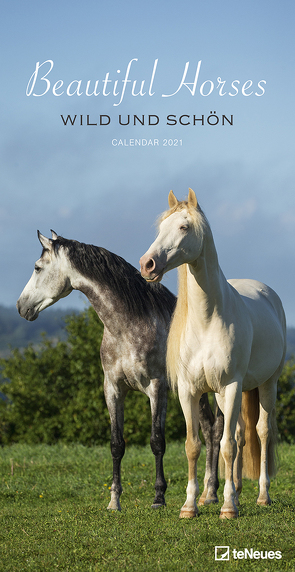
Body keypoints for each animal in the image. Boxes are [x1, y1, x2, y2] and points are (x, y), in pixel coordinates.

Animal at [141, 190, 286, 520]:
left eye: (184, 227)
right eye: (160, 228)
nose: (147, 264)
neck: (207, 321)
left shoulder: (230, 385)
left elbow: (228, 446)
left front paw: (228, 509)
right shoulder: (190, 391)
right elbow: (194, 446)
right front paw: (190, 505)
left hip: (266, 385)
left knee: (261, 432)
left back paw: (261, 496)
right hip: (227, 394)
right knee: (241, 434)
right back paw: (239, 493)